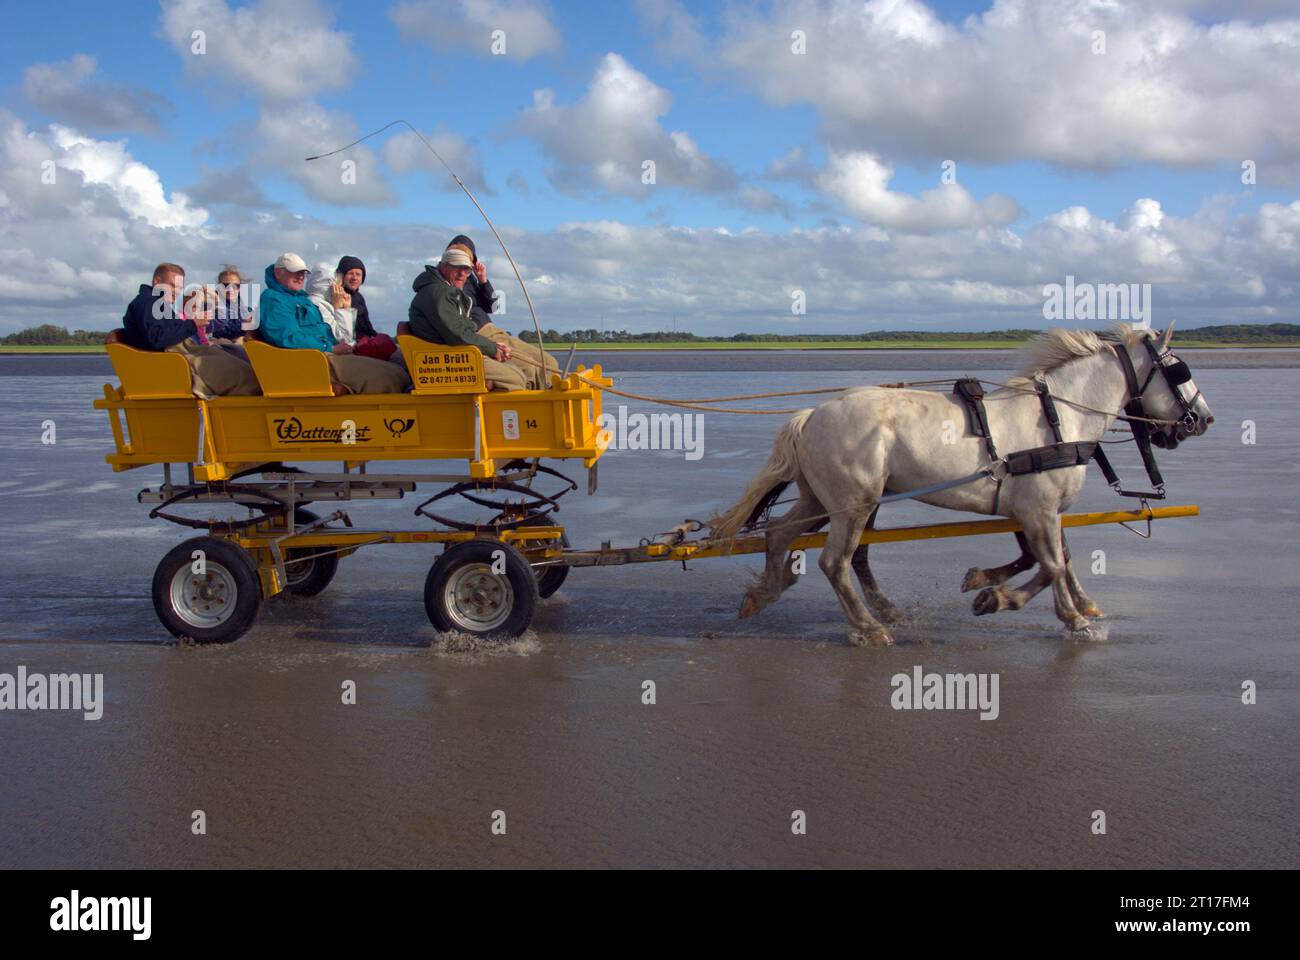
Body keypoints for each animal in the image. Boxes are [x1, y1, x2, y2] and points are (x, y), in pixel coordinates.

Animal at [712, 321, 1206, 642]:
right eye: (1178, 370)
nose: (1203, 418)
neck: (1059, 417)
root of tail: (812, 414)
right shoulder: (1037, 509)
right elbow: (1051, 565)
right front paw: (1006, 600)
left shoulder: (1037, 510)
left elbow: (1058, 559)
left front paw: (1077, 609)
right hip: (854, 503)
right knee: (836, 562)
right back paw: (869, 627)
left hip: (822, 499)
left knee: (780, 533)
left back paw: (767, 592)